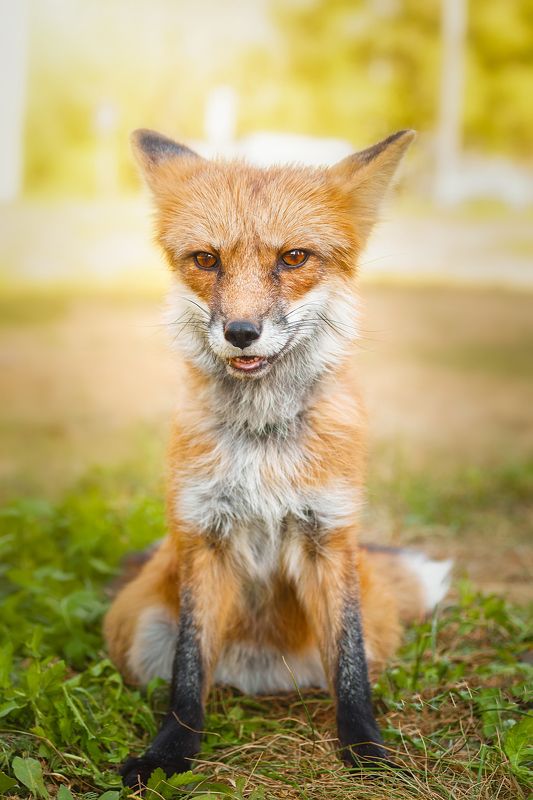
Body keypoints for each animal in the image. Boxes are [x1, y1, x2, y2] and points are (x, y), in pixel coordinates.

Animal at [104, 127, 451, 787]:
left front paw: (364, 749)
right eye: (206, 260)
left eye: (293, 258)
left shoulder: (329, 533)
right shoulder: (203, 535)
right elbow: (188, 675)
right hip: (137, 629)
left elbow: (350, 668)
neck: (262, 440)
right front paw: (170, 754)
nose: (241, 332)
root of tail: (256, 679)